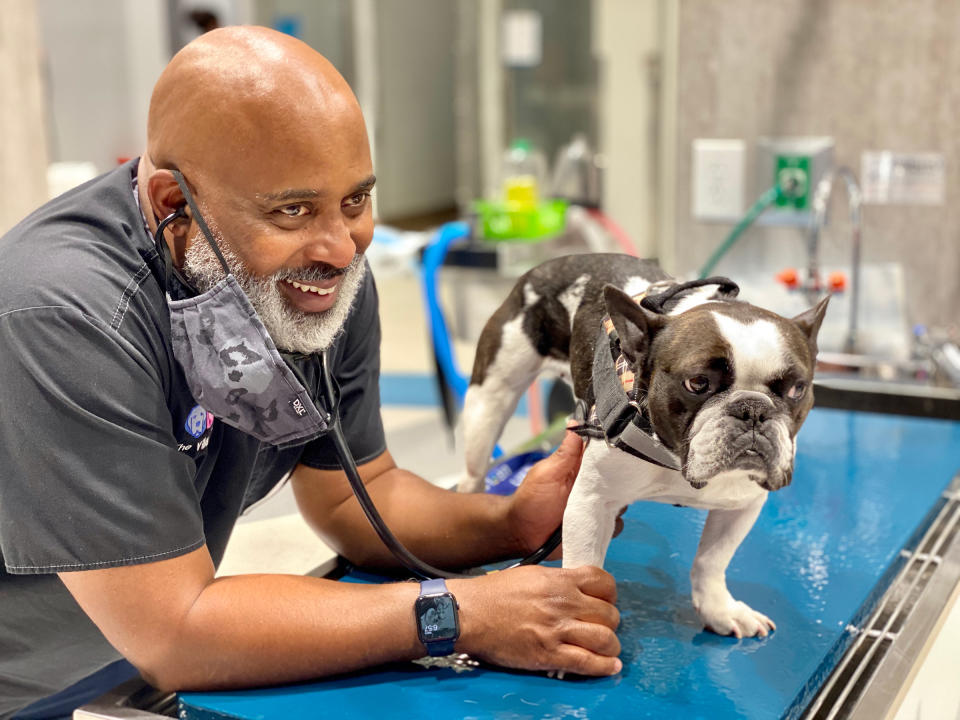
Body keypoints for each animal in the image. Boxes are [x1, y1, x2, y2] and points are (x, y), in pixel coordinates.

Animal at [458, 256, 824, 640]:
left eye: (797, 389)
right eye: (697, 383)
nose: (753, 409)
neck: (674, 456)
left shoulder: (742, 504)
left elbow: (712, 560)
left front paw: (719, 610)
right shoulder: (592, 503)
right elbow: (585, 572)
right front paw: (580, 625)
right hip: (489, 402)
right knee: (473, 471)